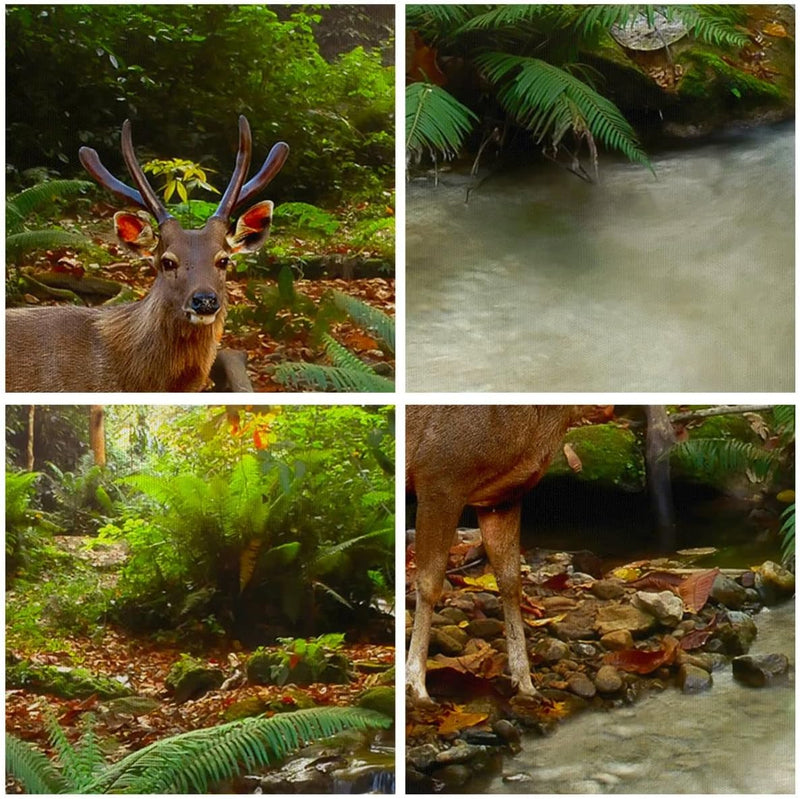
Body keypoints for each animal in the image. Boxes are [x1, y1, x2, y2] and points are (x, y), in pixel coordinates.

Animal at [406, 406, 580, 708]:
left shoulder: (503, 496)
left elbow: (510, 581)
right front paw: (416, 685)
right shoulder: (439, 475)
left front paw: (526, 684)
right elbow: (429, 584)